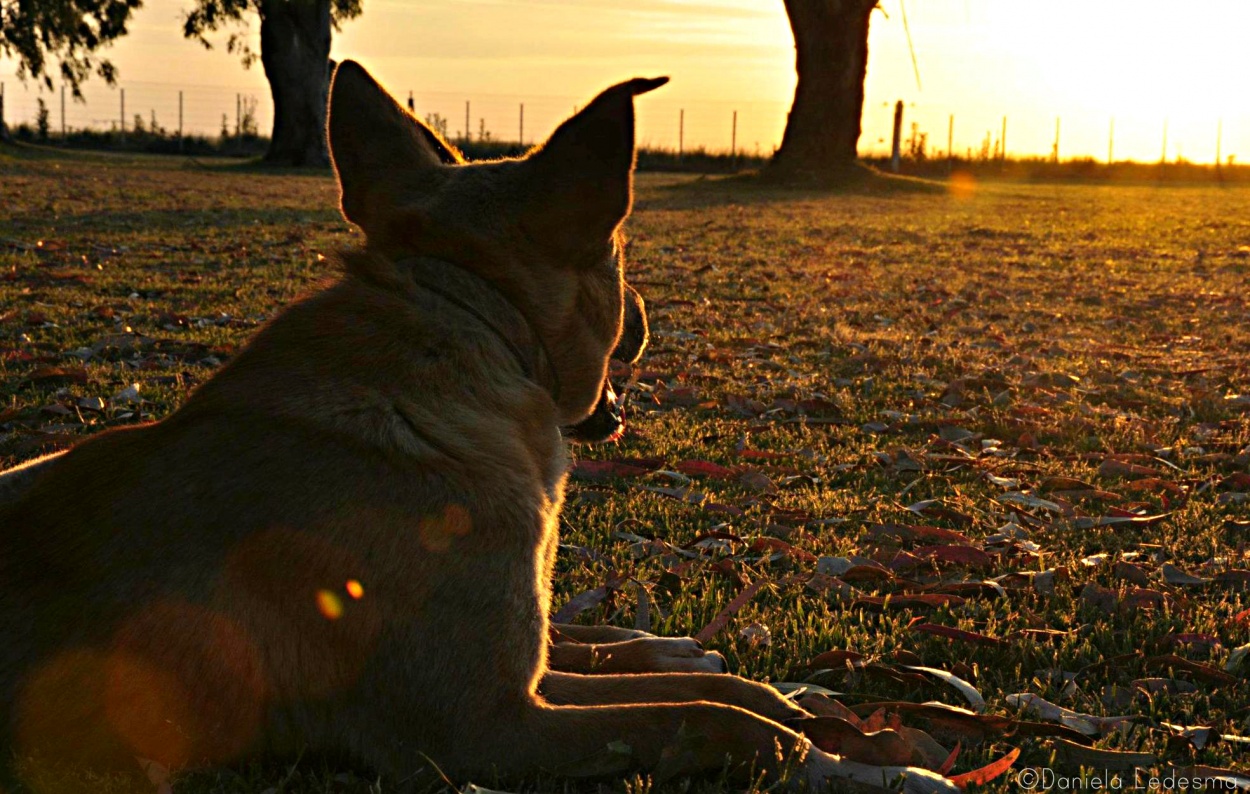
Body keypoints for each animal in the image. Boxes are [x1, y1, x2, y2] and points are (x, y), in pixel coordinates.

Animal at [0, 63, 945, 794]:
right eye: (620, 259)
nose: (649, 315)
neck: (471, 320)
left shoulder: (518, 681)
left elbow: (689, 689)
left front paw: (777, 698)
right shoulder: (482, 728)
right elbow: (709, 722)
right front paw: (860, 763)